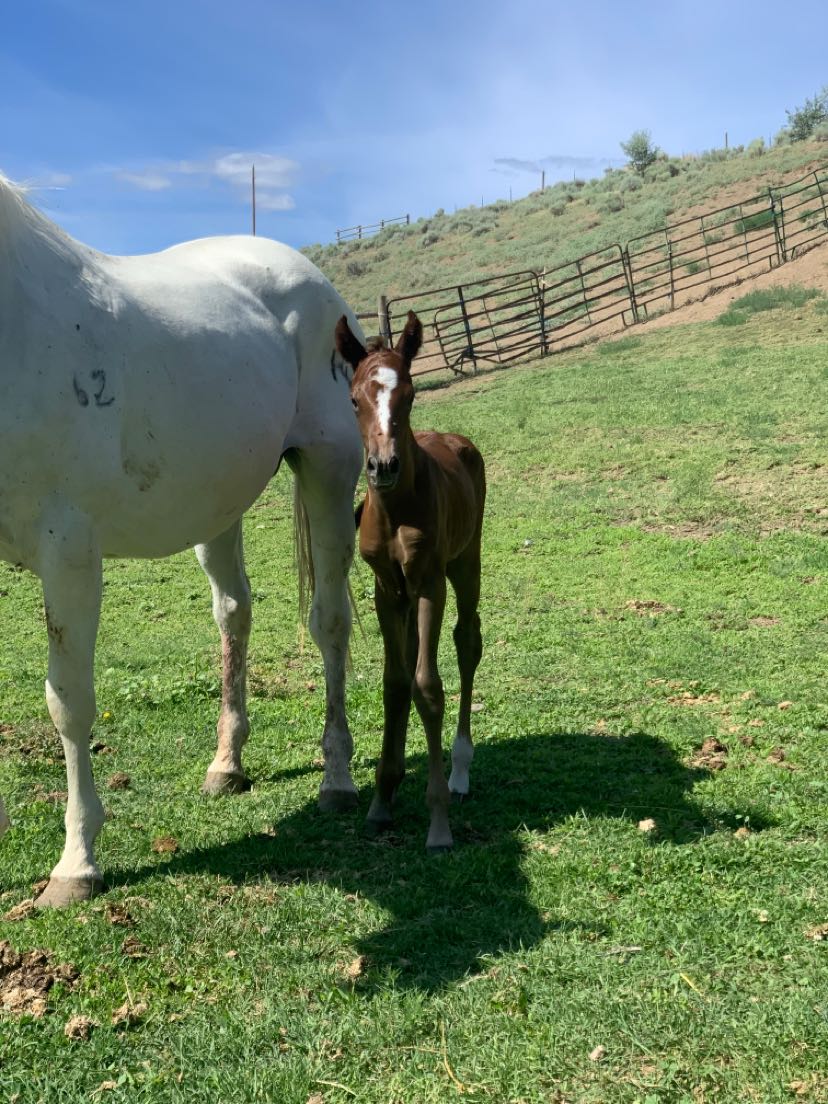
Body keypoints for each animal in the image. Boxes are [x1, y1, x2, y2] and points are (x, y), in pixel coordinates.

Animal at [0, 174, 364, 907]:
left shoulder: (69, 550)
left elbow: (69, 703)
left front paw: (76, 865)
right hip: (217, 505)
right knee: (235, 612)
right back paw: (227, 764)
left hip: (330, 473)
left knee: (330, 622)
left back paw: (336, 778)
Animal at [334, 311, 486, 852]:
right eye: (353, 399)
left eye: (411, 394)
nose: (383, 467)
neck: (396, 509)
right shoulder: (387, 591)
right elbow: (396, 683)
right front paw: (382, 799)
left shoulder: (427, 584)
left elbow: (428, 686)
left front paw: (438, 822)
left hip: (465, 563)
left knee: (467, 641)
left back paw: (461, 771)